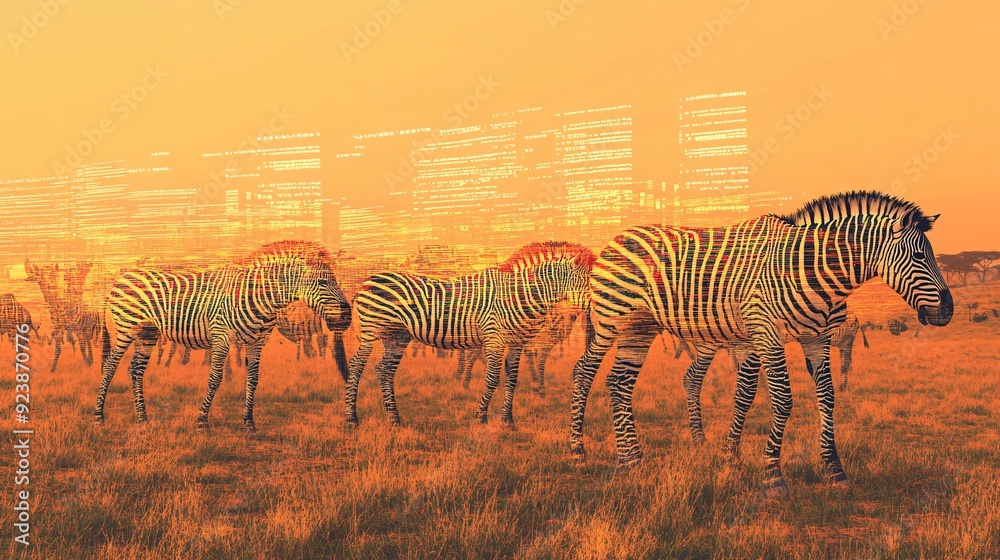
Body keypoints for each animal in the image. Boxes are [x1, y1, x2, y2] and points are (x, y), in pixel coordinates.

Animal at [94, 248, 352, 431]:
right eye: (323, 282)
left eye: (335, 280)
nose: (348, 317)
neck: (261, 297)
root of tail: (122, 276)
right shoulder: (221, 334)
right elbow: (215, 378)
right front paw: (202, 420)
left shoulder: (257, 341)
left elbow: (253, 379)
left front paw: (248, 421)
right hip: (126, 329)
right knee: (109, 366)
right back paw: (99, 416)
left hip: (147, 334)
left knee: (135, 370)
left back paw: (143, 419)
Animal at [345, 242, 595, 428]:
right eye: (589, 282)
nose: (598, 308)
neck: (516, 294)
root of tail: (365, 281)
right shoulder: (494, 338)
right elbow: (492, 378)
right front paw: (481, 416)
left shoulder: (516, 342)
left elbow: (512, 379)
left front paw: (507, 421)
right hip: (370, 332)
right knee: (356, 366)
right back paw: (351, 419)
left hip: (397, 337)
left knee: (383, 370)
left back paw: (394, 419)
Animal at [568, 191, 952, 493]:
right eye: (919, 257)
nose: (948, 311)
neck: (809, 267)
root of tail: (617, 236)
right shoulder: (767, 333)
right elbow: (781, 400)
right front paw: (772, 475)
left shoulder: (816, 340)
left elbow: (826, 399)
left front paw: (834, 470)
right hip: (611, 319)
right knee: (584, 373)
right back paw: (578, 453)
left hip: (640, 328)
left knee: (619, 382)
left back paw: (631, 460)